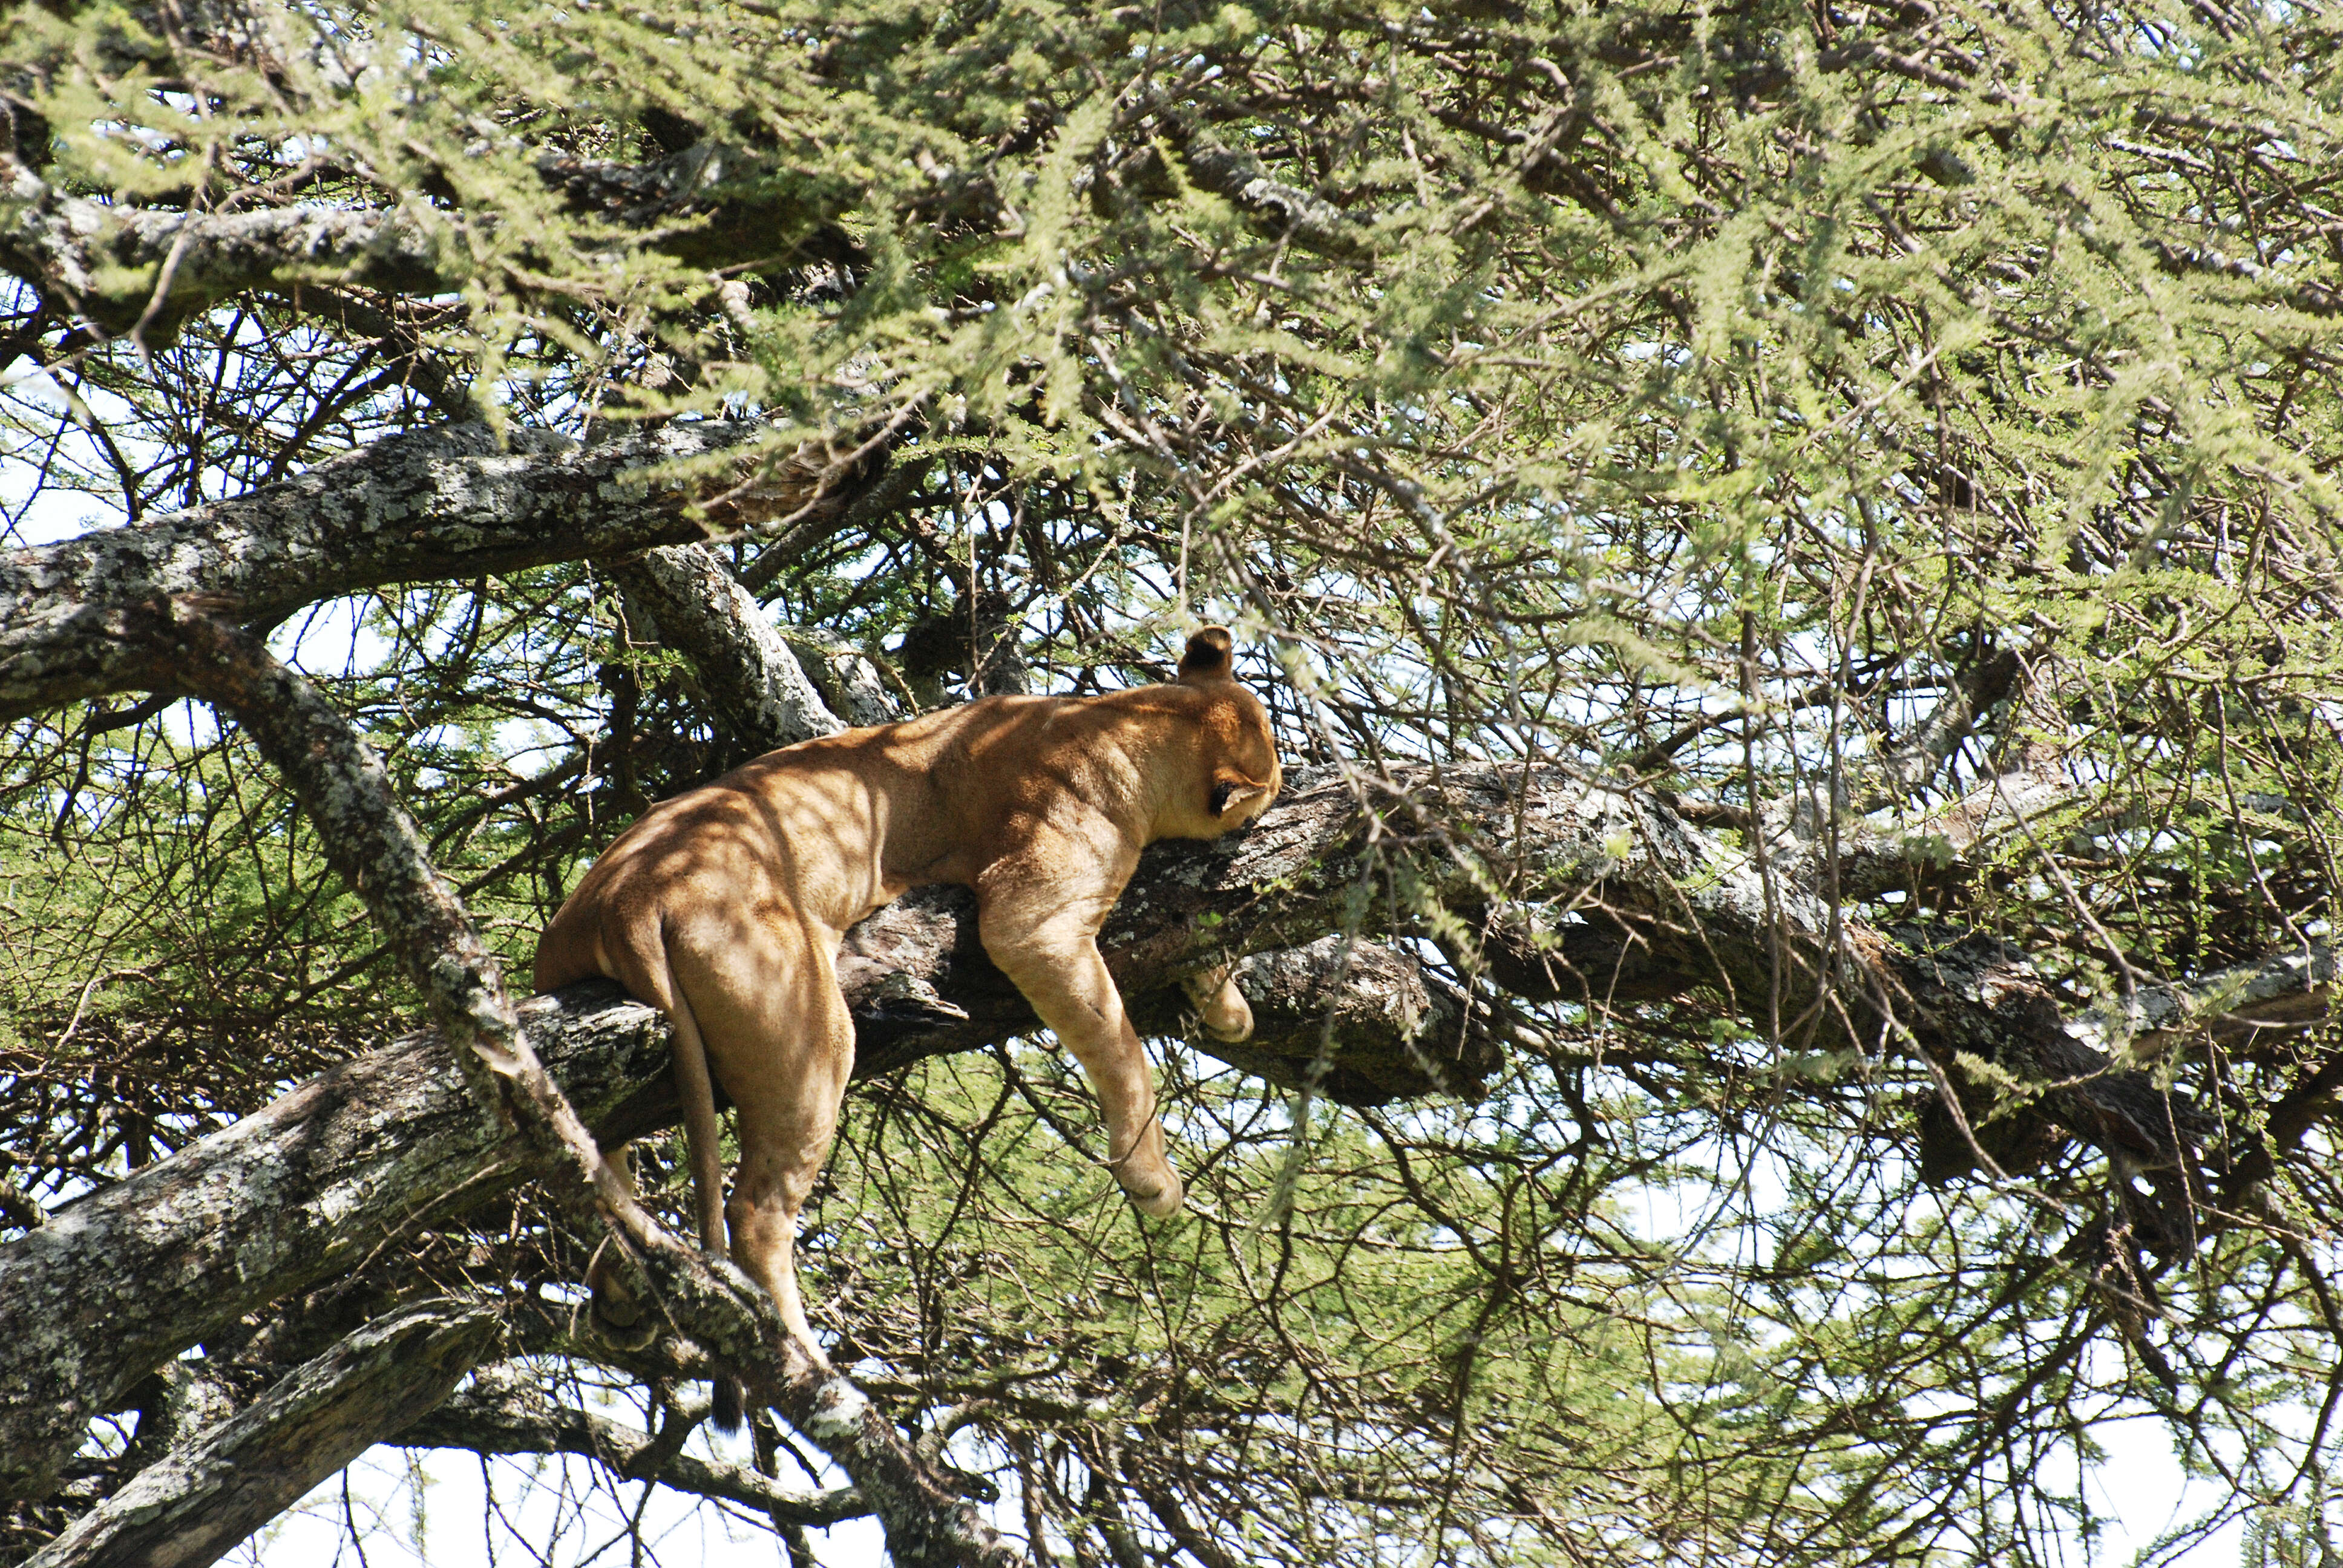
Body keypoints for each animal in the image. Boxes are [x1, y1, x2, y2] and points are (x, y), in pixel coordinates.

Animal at [536, 623, 1283, 1397]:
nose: (1279, 794)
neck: (1118, 721)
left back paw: (623, 1297)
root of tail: (631, 897)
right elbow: (1121, 1047)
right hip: (809, 1033)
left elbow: (1192, 926)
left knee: (602, 1169)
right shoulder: (1034, 917)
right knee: (755, 1212)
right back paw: (806, 1363)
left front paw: (1226, 1008)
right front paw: (1150, 1178)